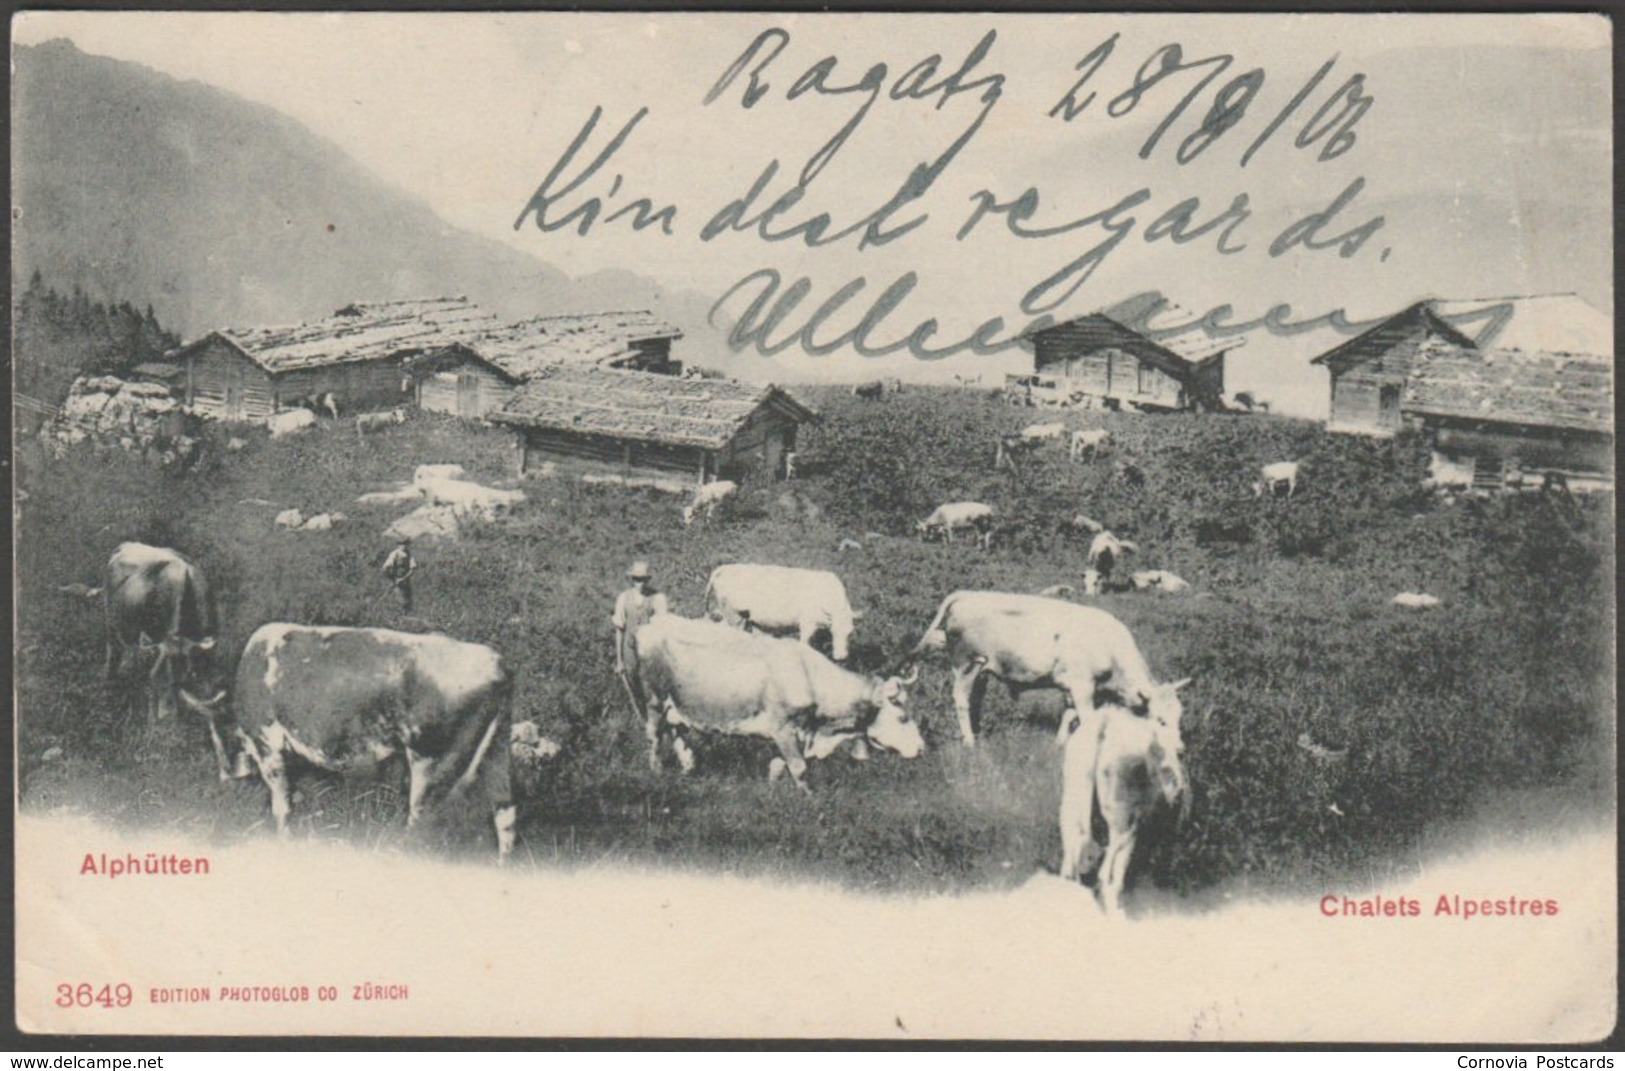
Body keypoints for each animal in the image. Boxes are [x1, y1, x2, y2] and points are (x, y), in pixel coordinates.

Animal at [101, 546, 217, 744]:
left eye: (186, 662)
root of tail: (126, 546)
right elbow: (155, 678)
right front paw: (152, 724)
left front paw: (177, 720)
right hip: (112, 618)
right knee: (115, 652)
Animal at [183, 624, 513, 858]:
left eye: (216, 732)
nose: (226, 776)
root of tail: (494, 662)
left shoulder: (268, 746)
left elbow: (281, 806)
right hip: (496, 756)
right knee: (506, 816)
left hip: (433, 764)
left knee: (422, 822)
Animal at [627, 611, 923, 786]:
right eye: (902, 716)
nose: (921, 749)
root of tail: (654, 621)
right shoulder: (782, 728)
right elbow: (799, 768)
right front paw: (810, 801)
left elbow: (778, 767)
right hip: (655, 699)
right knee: (655, 736)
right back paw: (657, 773)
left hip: (677, 704)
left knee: (677, 732)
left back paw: (688, 767)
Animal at [711, 562, 864, 663]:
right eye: (834, 632)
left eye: (850, 633)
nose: (841, 657)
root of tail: (727, 568)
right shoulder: (808, 623)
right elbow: (804, 644)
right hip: (735, 616)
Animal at [1059, 705, 1189, 923]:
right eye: (1163, 720)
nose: (1181, 748)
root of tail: (1105, 721)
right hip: (1125, 823)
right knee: (1109, 874)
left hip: (1071, 809)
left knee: (1070, 866)